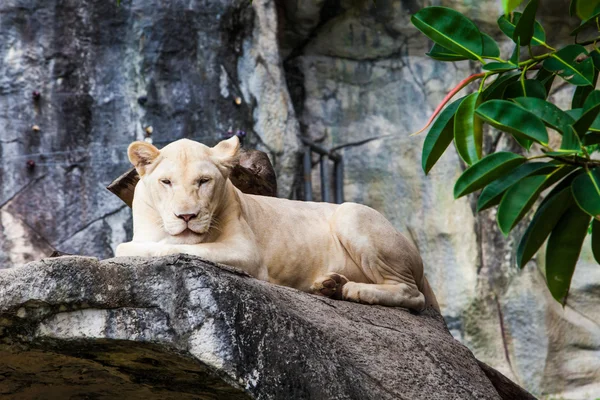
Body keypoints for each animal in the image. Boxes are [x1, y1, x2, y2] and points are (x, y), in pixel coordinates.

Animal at [115, 138, 438, 312]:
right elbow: (125, 246)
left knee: (412, 294)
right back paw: (330, 285)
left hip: (351, 214)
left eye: (204, 181)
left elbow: (174, 247)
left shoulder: (248, 253)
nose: (187, 216)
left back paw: (353, 291)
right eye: (166, 182)